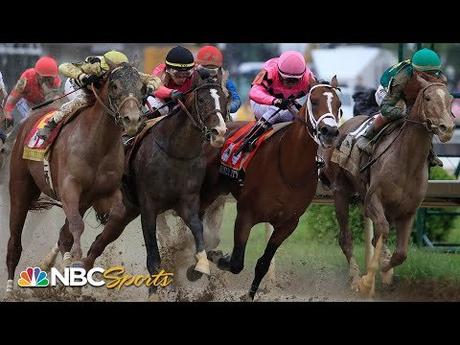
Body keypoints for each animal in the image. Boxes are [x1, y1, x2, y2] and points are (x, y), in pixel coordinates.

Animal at [4, 62, 145, 296]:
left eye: (142, 88)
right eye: (114, 85)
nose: (132, 120)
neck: (98, 145)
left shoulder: (105, 192)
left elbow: (116, 214)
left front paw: (75, 269)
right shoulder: (70, 188)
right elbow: (77, 226)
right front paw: (75, 263)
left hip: (81, 201)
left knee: (64, 234)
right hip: (19, 187)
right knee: (15, 240)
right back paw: (9, 290)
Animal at [203, 76, 344, 300]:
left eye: (339, 105)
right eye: (313, 101)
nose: (329, 132)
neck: (289, 168)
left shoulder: (287, 224)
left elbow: (263, 264)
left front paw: (249, 295)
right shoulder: (246, 214)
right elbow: (236, 262)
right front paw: (218, 257)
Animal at [322, 77, 454, 296]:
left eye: (451, 99)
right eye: (427, 98)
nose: (448, 128)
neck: (407, 161)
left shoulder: (408, 211)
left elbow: (400, 253)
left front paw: (385, 269)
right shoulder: (372, 200)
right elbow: (382, 231)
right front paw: (368, 280)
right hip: (340, 191)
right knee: (345, 238)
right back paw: (355, 278)